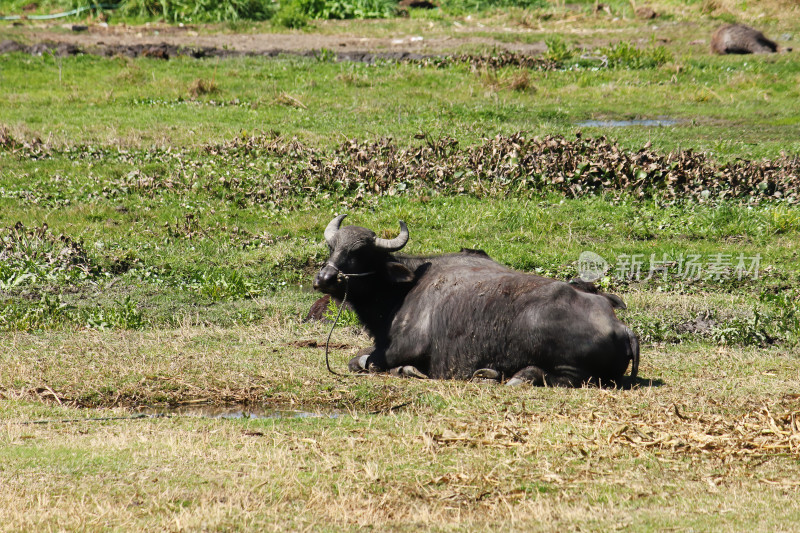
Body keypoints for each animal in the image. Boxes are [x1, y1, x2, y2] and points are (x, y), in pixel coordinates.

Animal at [312, 215, 636, 386]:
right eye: (332, 247)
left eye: (361, 254)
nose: (323, 279)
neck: (403, 290)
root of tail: (621, 327)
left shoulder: (401, 348)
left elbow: (362, 360)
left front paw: (405, 369)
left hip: (567, 364)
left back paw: (517, 376)